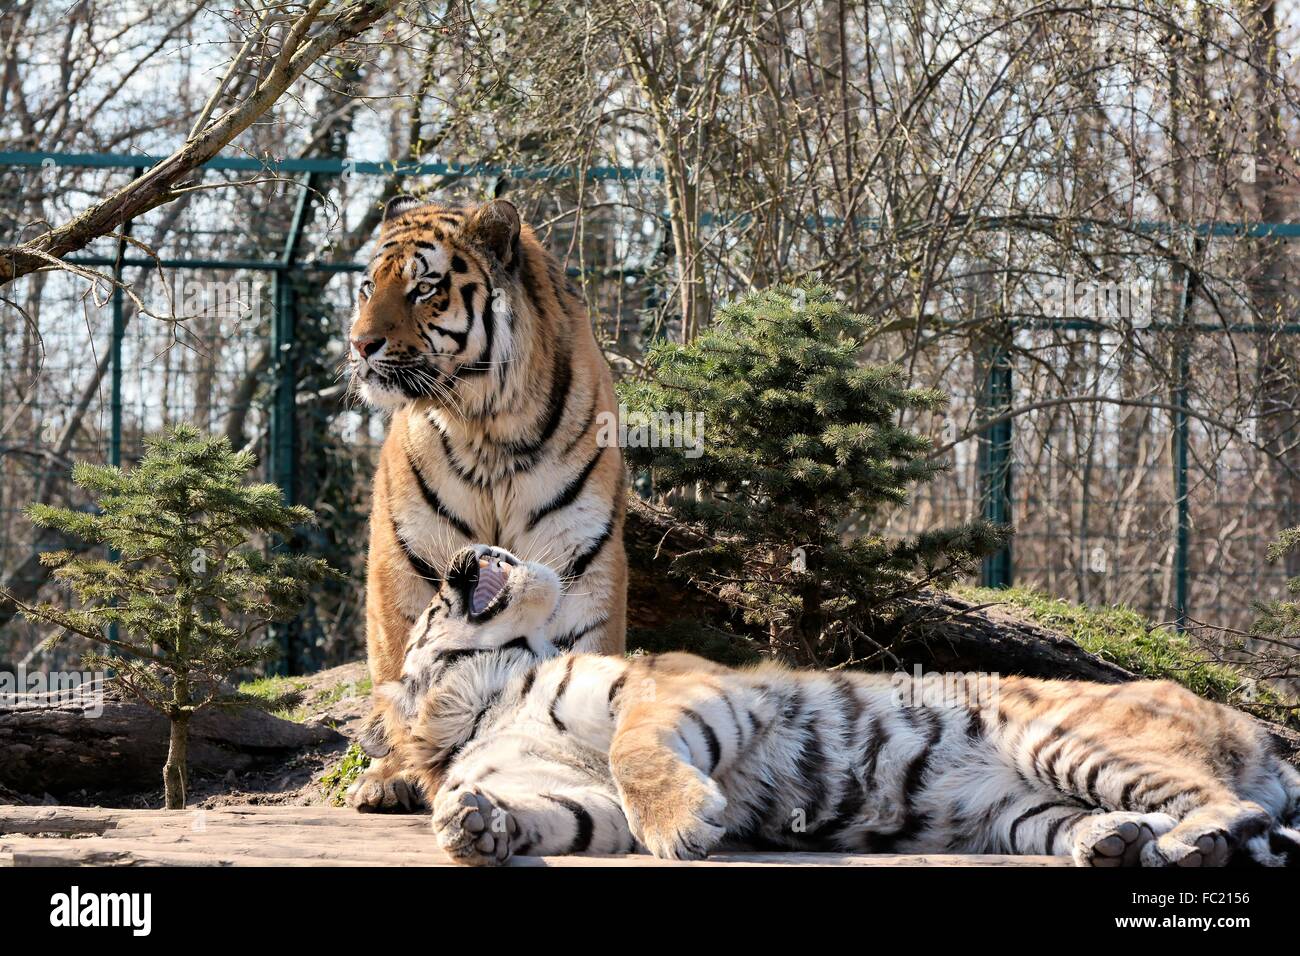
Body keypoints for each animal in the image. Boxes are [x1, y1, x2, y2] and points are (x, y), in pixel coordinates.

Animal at [366, 546, 1300, 868]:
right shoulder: (576, 791)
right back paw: (1114, 843)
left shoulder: (672, 689)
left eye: (432, 597)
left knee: (1226, 803)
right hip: (1021, 811)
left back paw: (1188, 844)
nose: (470, 551)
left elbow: (637, 759)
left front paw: (683, 825)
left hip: (1067, 739)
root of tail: (1255, 729)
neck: (492, 695)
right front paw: (473, 823)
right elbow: (557, 812)